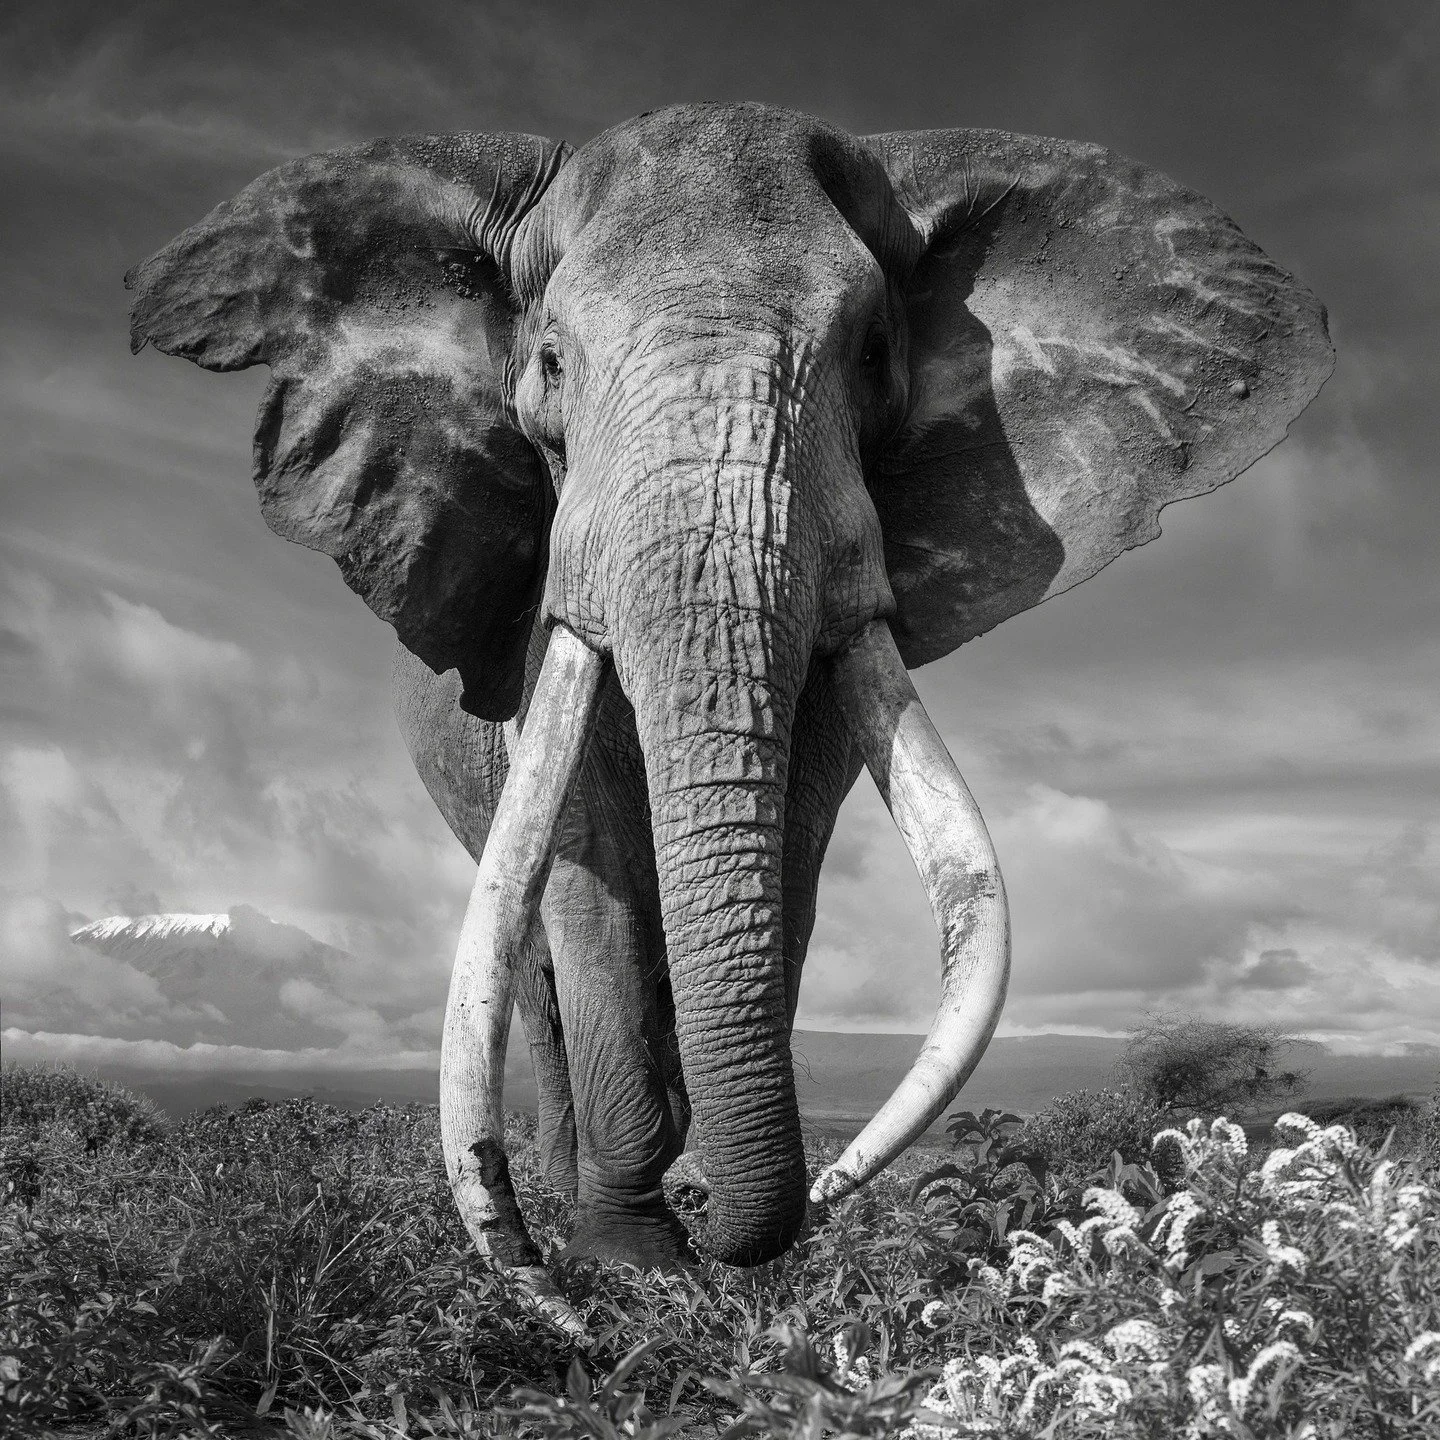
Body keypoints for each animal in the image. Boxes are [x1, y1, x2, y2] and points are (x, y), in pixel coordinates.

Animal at [128, 102, 1331, 1339]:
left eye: (874, 354)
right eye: (550, 363)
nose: (717, 1214)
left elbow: (792, 858)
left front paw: (727, 1245)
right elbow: (594, 867)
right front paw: (628, 1267)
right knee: (542, 969)